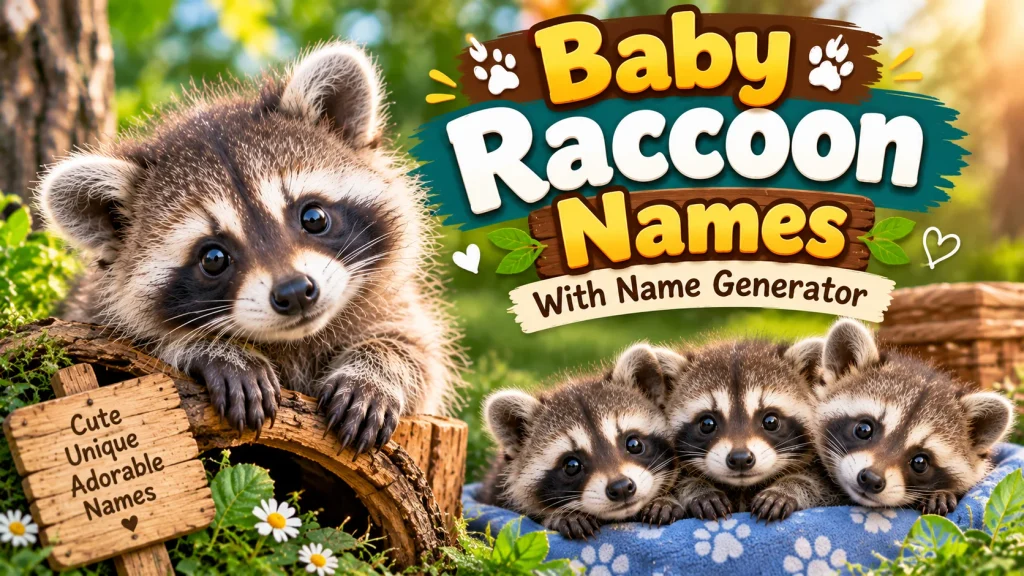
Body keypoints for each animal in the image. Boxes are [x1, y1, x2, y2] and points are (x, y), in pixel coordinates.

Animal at [36, 42, 462, 453]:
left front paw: (376, 368)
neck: (295, 340)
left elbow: (419, 352)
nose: (295, 292)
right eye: (213, 258)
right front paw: (208, 347)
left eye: (314, 218)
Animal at [666, 339, 834, 522]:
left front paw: (789, 487)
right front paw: (698, 488)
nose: (740, 458)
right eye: (707, 424)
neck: (743, 488)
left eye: (771, 421)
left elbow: (822, 487)